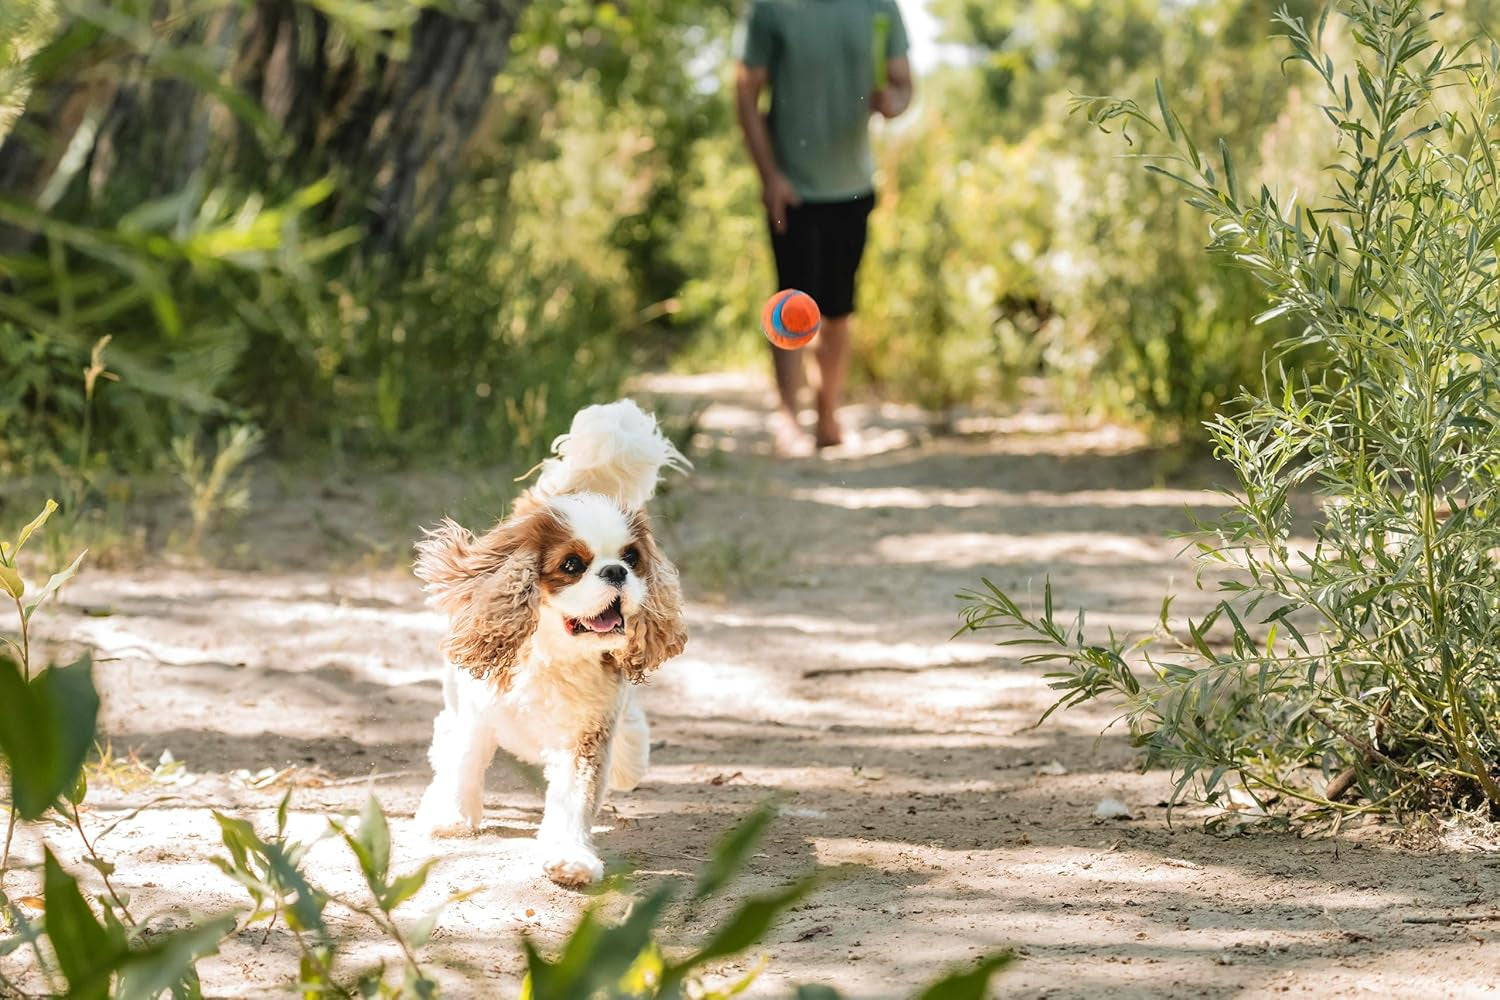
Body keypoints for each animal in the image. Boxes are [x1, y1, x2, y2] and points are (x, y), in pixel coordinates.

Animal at [414, 398, 687, 881]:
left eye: (632, 558)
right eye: (572, 565)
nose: (616, 572)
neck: (555, 656)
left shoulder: (586, 736)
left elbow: (573, 800)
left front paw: (569, 857)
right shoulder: (477, 714)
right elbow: (464, 761)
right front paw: (451, 815)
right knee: (447, 731)